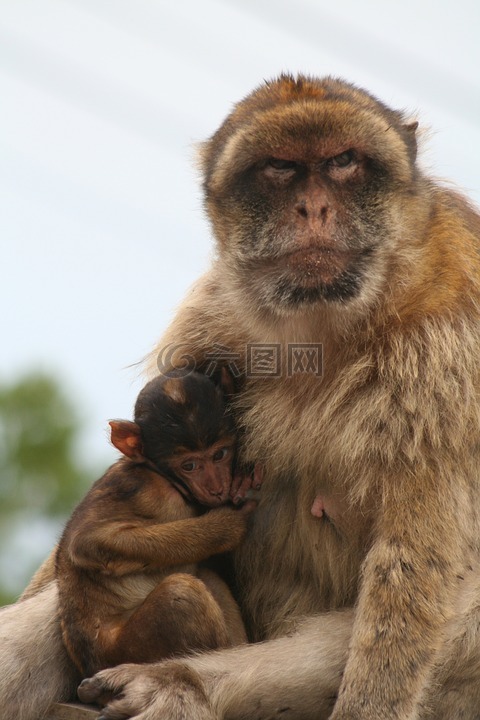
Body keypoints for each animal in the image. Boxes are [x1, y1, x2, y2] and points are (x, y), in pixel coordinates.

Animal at [54, 368, 260, 676]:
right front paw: (226, 526)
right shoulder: (145, 490)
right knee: (182, 593)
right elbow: (87, 543)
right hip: (128, 649)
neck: (164, 476)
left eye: (219, 454)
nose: (216, 487)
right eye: (190, 466)